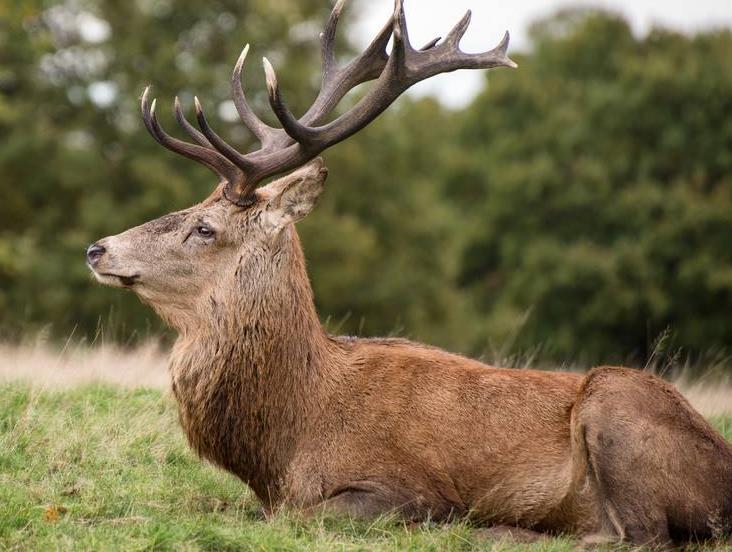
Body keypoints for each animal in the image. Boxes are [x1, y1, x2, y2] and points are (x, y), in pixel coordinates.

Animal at [88, 0, 732, 544]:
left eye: (204, 228)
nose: (98, 248)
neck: (285, 444)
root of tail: (725, 478)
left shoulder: (403, 490)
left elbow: (311, 515)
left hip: (616, 403)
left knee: (642, 535)